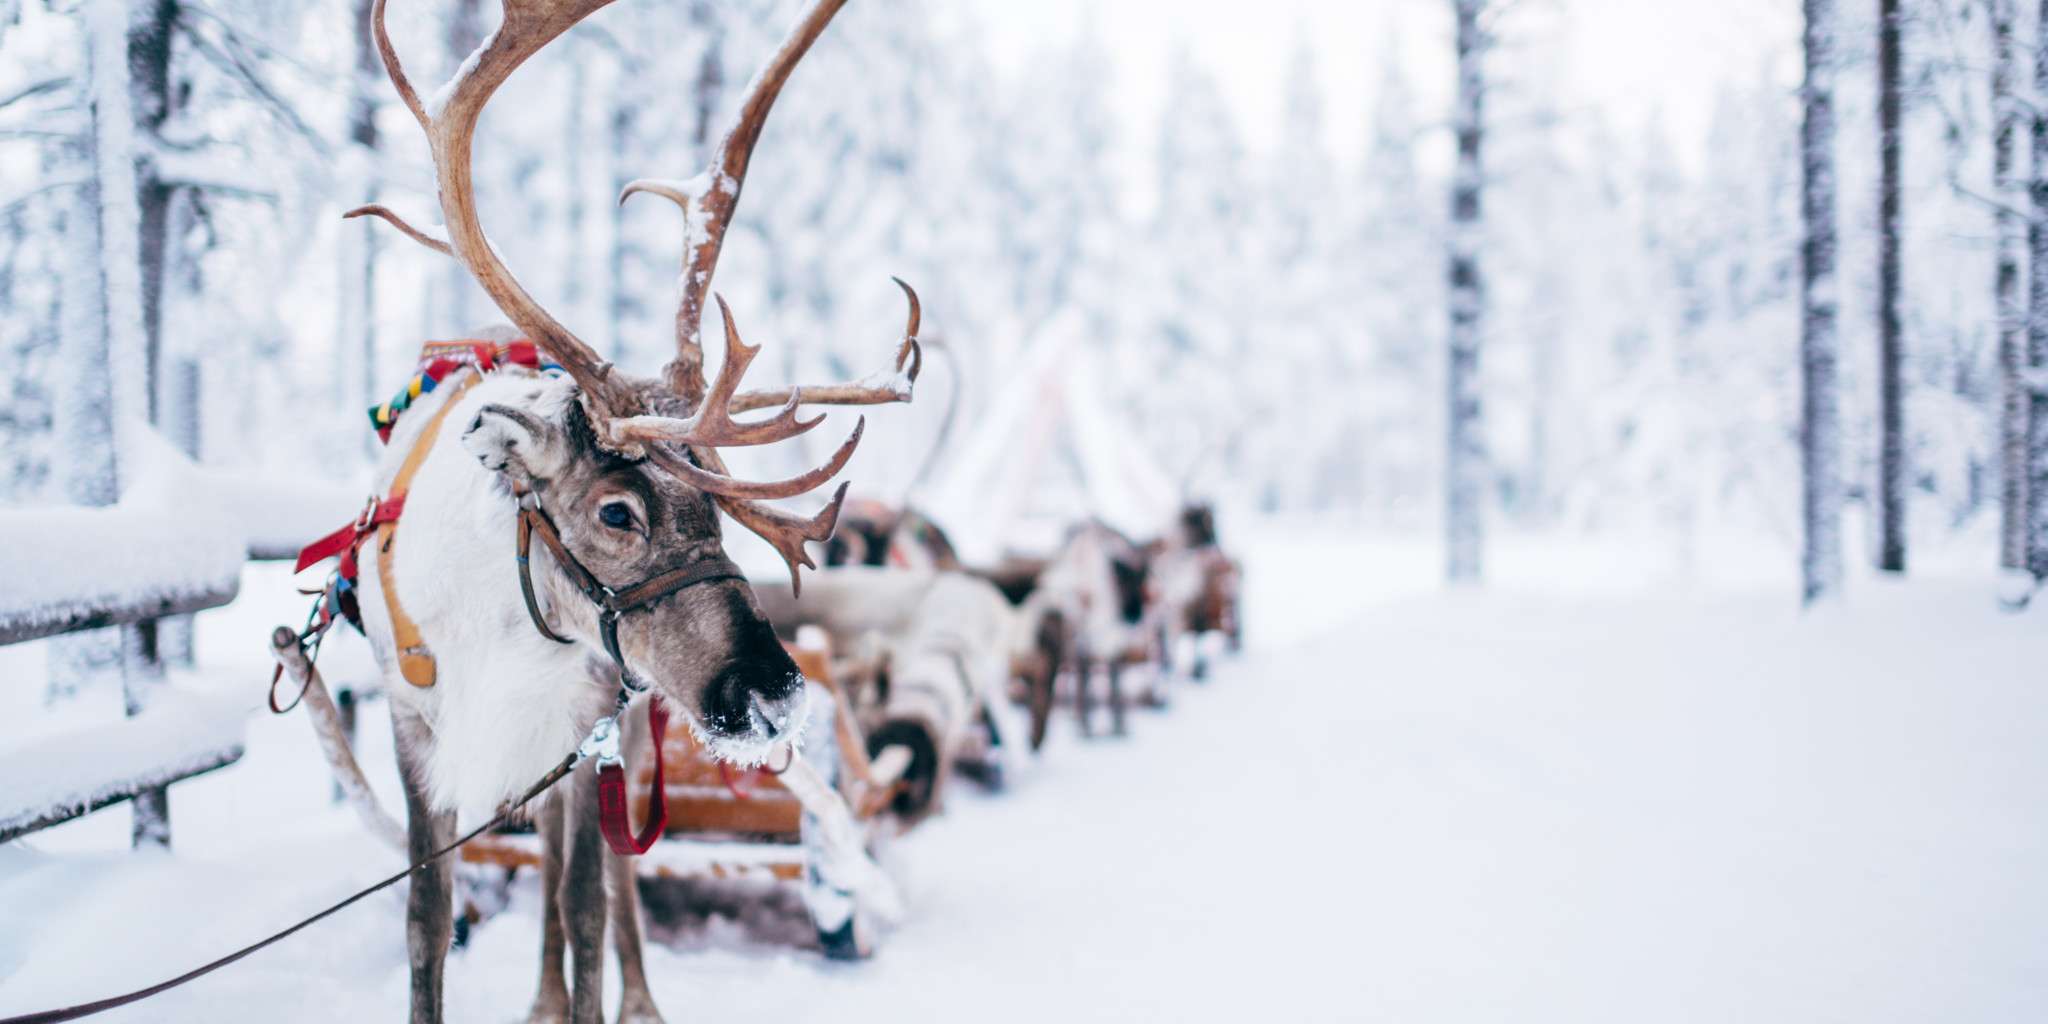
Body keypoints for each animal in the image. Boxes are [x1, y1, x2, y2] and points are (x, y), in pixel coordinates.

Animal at [323, 2, 916, 1022]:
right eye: (616, 514)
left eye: (720, 508)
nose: (776, 693)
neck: (502, 633)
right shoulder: (414, 729)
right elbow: (428, 916)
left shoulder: (586, 724)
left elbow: (587, 902)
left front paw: (602, 996)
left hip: (632, 723)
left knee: (609, 878)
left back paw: (632, 1000)